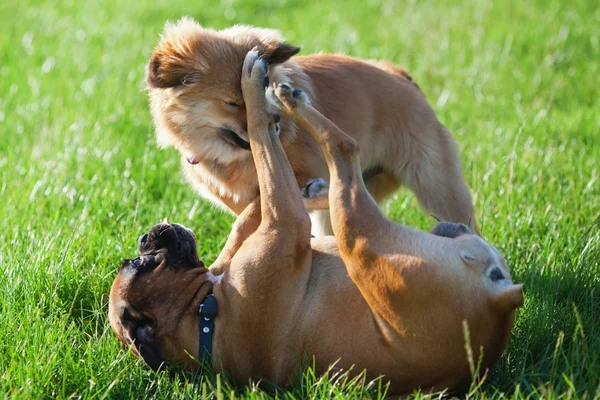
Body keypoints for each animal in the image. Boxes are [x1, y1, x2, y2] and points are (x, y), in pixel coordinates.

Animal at [110, 51, 524, 396]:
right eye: (139, 263)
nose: (146, 237)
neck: (205, 318)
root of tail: (500, 306)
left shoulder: (254, 233)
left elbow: (251, 206)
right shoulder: (286, 221)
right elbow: (263, 144)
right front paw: (257, 91)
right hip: (358, 234)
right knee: (342, 147)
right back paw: (285, 97)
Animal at [146, 17, 478, 239]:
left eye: (263, 88)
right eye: (231, 103)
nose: (277, 123)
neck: (230, 157)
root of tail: (400, 75)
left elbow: (256, 213)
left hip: (437, 186)